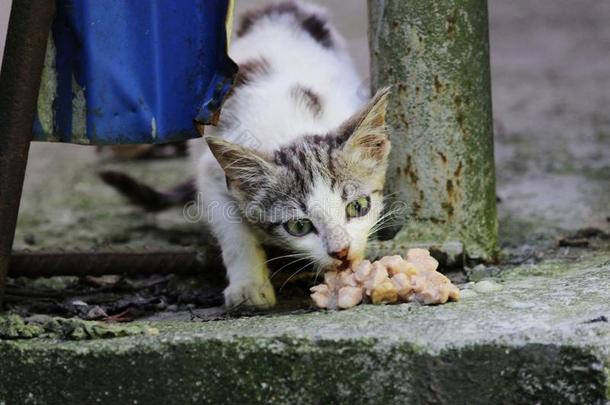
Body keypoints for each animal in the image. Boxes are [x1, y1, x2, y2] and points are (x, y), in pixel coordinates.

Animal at [195, 1, 390, 308]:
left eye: (358, 207)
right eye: (299, 226)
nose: (341, 252)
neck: (295, 127)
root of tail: (277, 8)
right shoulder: (210, 173)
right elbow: (231, 228)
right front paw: (248, 285)